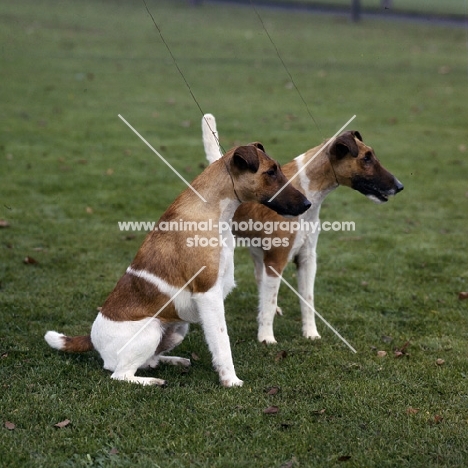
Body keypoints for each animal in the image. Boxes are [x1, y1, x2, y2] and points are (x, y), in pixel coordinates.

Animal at [44, 144, 310, 388]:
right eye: (271, 172)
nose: (307, 204)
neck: (213, 212)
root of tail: (91, 338)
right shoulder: (208, 295)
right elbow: (222, 343)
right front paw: (230, 380)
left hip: (177, 328)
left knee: (147, 360)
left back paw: (172, 361)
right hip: (151, 330)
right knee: (120, 374)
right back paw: (153, 381)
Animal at [201, 114, 402, 344]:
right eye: (366, 158)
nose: (400, 186)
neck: (305, 192)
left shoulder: (307, 259)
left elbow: (307, 300)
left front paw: (311, 333)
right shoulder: (276, 260)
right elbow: (270, 302)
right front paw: (266, 337)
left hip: (259, 251)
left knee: (260, 280)